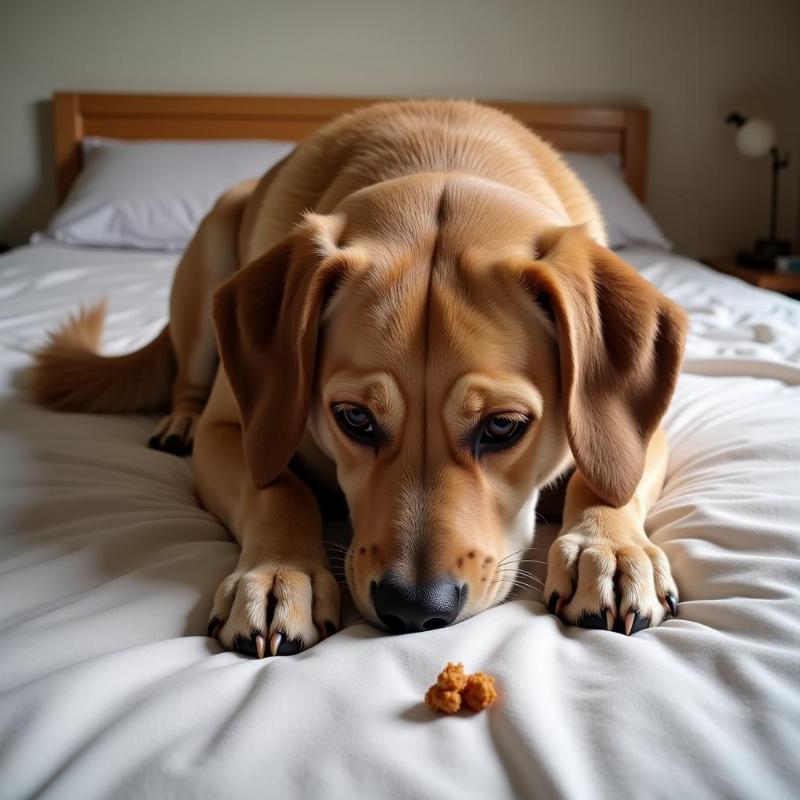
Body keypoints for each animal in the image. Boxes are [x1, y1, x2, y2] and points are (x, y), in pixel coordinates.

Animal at [28, 100, 684, 656]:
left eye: (503, 427)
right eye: (354, 419)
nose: (414, 608)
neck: (445, 159)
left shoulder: (646, 433)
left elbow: (606, 477)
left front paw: (610, 550)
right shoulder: (234, 431)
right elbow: (279, 486)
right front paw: (279, 575)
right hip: (207, 263)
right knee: (188, 381)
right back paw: (178, 422)